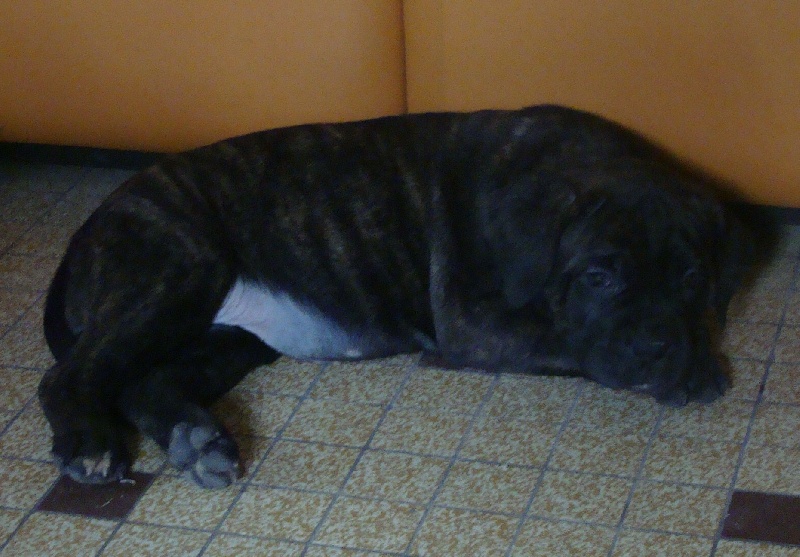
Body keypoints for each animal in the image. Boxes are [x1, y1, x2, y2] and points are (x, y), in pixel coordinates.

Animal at [39, 105, 762, 488]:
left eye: (692, 277)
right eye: (599, 277)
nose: (656, 347)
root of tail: (94, 221)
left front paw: (693, 354)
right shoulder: (478, 325)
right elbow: (566, 342)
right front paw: (696, 370)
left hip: (226, 337)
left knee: (142, 380)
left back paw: (198, 438)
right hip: (180, 270)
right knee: (71, 374)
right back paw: (90, 443)